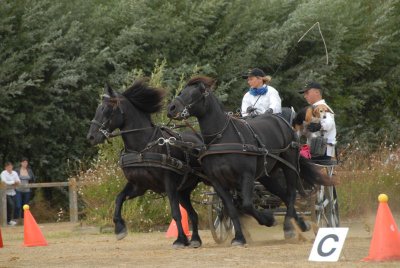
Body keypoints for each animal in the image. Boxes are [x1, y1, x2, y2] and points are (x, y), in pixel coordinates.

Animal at [88, 80, 206, 248]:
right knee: (193, 214)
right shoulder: (139, 185)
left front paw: (180, 240)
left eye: (106, 109)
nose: (91, 137)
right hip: (183, 191)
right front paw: (119, 229)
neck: (141, 148)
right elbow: (118, 198)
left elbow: (175, 213)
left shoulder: (169, 184)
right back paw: (195, 239)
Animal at [166, 76, 332, 246]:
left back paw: (289, 227)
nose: (171, 108)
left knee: (291, 193)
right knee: (283, 194)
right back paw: (301, 224)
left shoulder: (246, 175)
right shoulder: (217, 181)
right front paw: (239, 237)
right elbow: (232, 209)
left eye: (195, 93)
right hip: (267, 175)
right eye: (182, 91)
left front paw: (268, 219)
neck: (222, 138)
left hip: (289, 165)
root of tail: (282, 121)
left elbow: (246, 205)